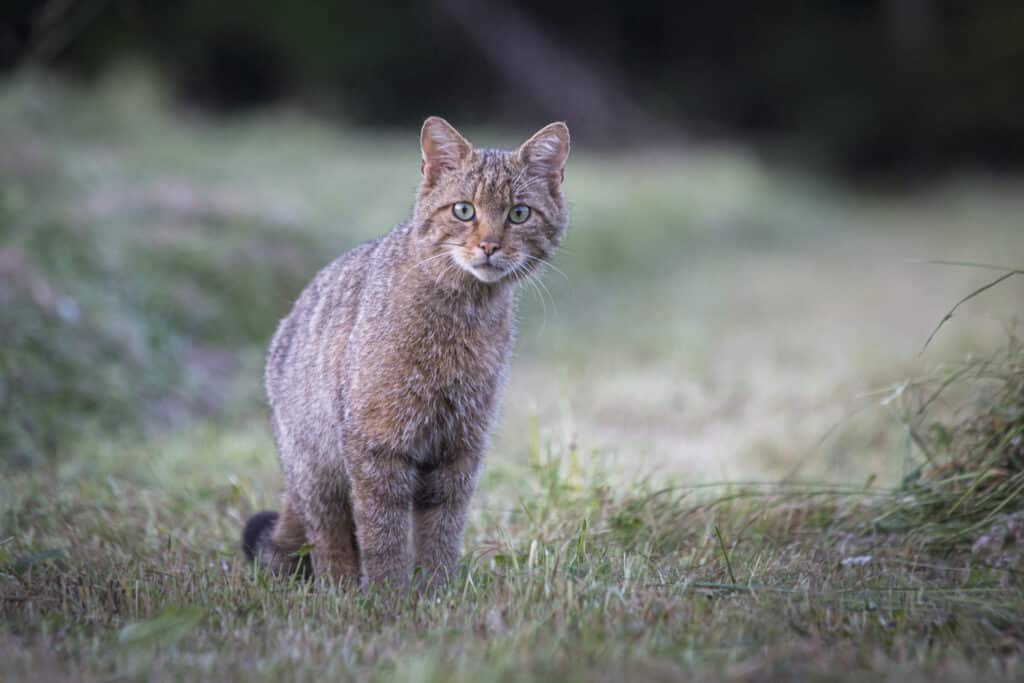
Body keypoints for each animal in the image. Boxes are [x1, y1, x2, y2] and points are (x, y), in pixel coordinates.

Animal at [244, 116, 573, 589]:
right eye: (463, 210)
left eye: (519, 213)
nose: (490, 246)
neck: (462, 312)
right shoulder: (377, 443)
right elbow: (383, 532)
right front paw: (388, 594)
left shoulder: (460, 444)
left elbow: (442, 528)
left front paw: (436, 590)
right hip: (317, 468)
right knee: (329, 539)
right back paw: (341, 588)